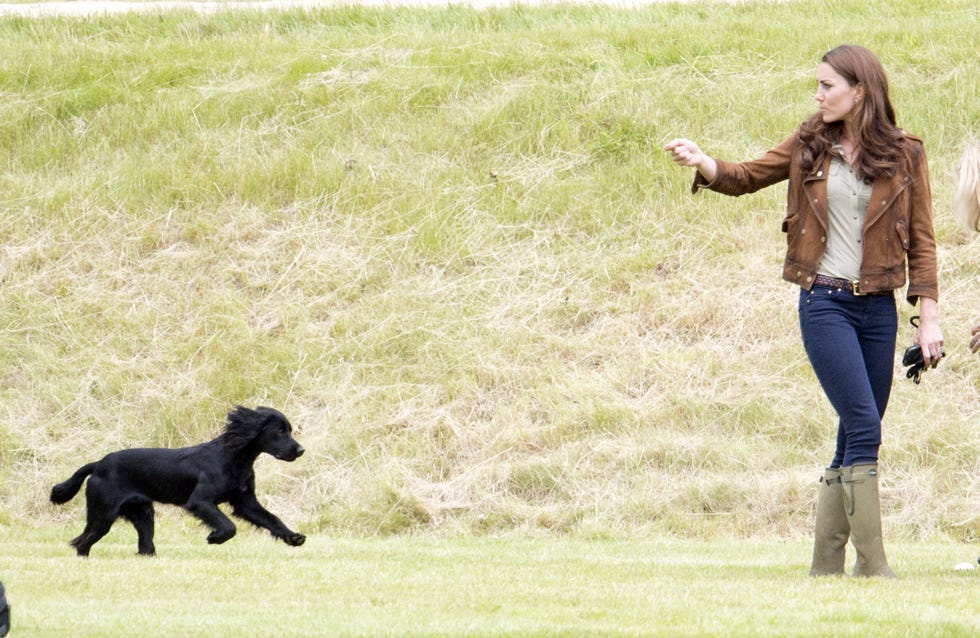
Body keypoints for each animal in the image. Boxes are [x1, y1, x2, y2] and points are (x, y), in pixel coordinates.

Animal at [48, 408, 302, 556]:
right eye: (279, 431)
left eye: (289, 430)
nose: (301, 450)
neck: (234, 457)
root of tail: (98, 464)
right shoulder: (200, 501)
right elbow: (229, 526)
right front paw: (215, 538)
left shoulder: (245, 503)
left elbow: (272, 519)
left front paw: (293, 536)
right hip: (104, 515)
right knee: (83, 543)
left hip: (142, 514)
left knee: (144, 547)